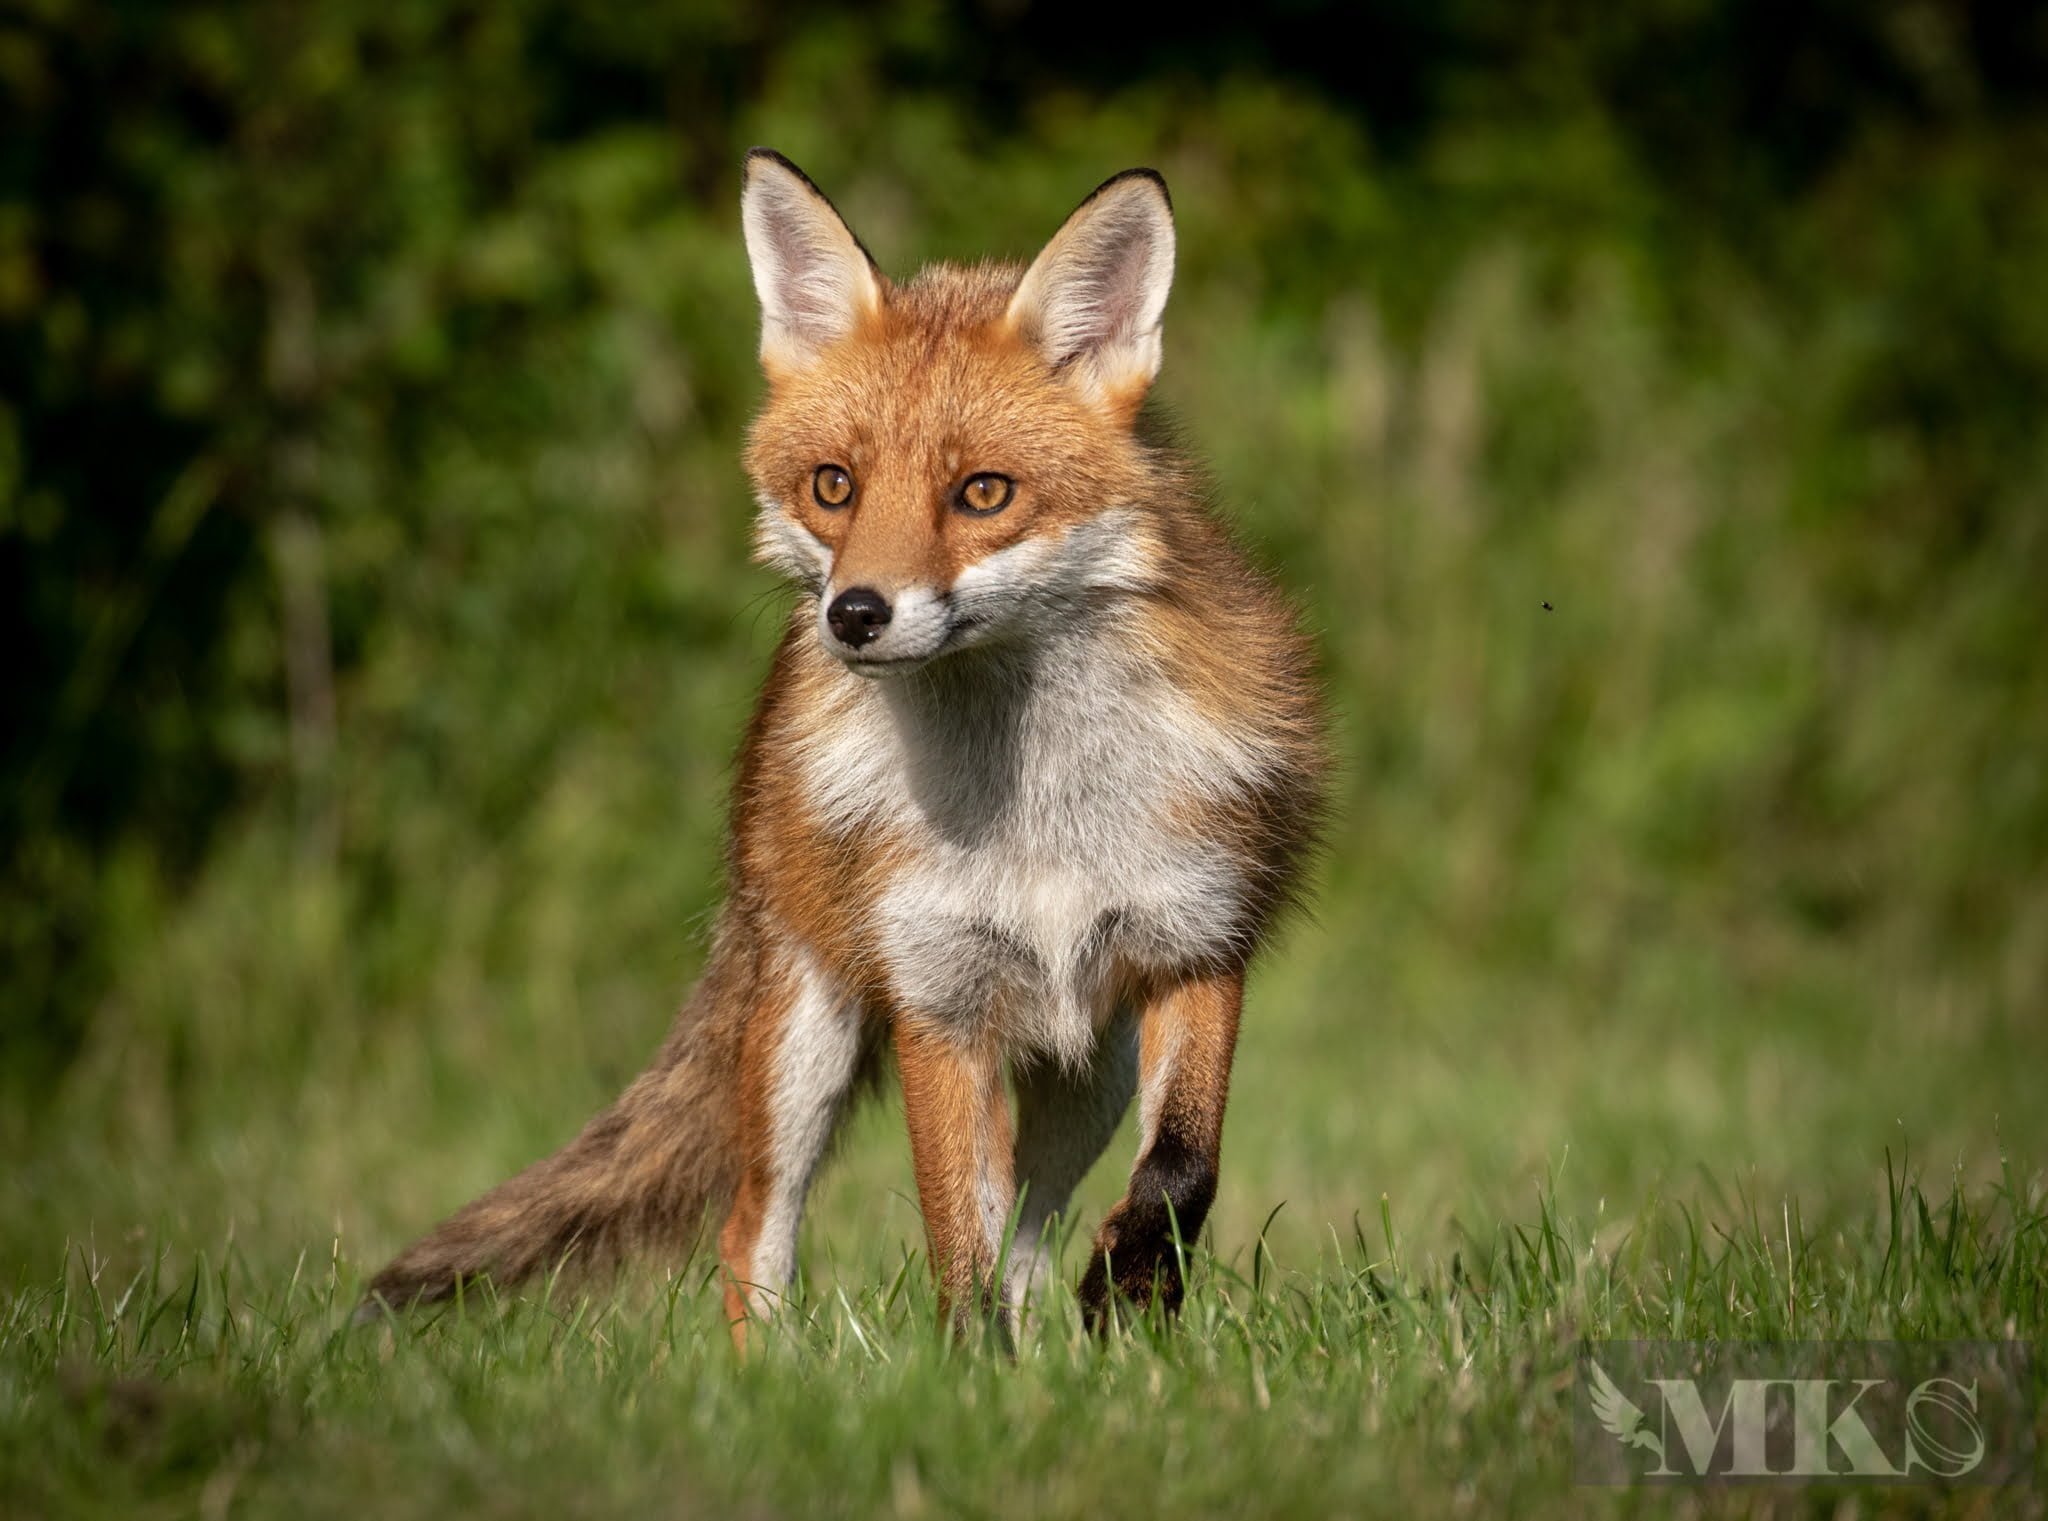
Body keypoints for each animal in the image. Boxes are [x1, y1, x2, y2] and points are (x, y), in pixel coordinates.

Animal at [362, 150, 1327, 1341]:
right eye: (835, 486)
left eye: (982, 493)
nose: (854, 614)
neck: (1036, 811)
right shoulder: (936, 1001)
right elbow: (954, 1245)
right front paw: (970, 1370)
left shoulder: (1196, 947)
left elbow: (1182, 1169)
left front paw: (1135, 1285)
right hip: (802, 1034)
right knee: (756, 1229)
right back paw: (769, 1376)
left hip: (1085, 1075)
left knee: (1031, 1229)